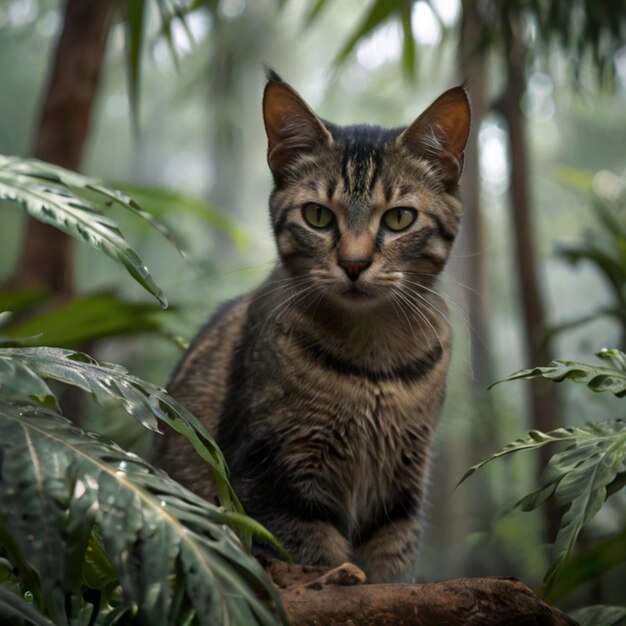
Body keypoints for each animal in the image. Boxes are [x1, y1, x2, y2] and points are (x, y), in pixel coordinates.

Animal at [160, 70, 468, 584]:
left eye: (400, 218)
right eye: (318, 215)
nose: (354, 263)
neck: (373, 358)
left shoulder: (402, 487)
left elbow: (391, 568)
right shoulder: (275, 478)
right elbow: (313, 558)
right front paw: (337, 576)